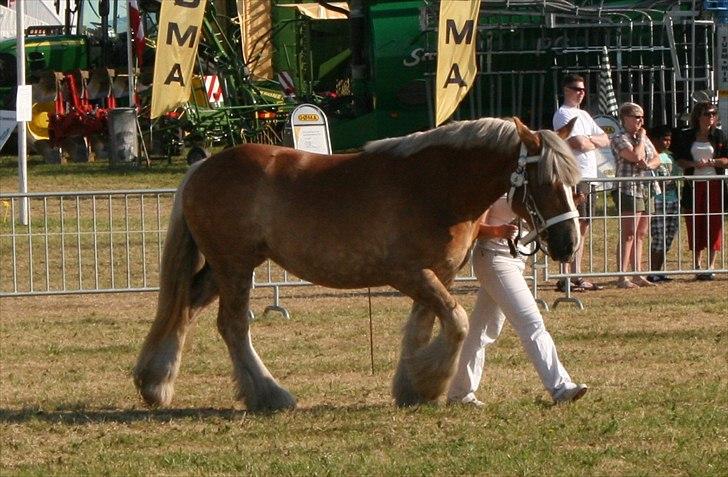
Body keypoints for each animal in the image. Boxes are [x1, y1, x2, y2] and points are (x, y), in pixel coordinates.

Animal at [135, 117, 580, 410]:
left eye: (575, 183)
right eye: (546, 182)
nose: (568, 243)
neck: (435, 186)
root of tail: (201, 166)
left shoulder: (437, 275)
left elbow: (420, 330)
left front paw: (412, 388)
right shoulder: (410, 275)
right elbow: (456, 323)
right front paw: (429, 383)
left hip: (221, 269)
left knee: (184, 309)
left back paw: (154, 384)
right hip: (235, 266)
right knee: (232, 326)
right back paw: (269, 394)